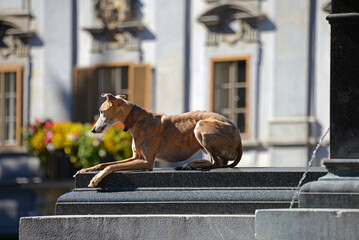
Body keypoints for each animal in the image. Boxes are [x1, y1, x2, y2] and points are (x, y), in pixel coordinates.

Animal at [74, 93, 243, 187]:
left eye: (102, 111)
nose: (93, 130)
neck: (137, 119)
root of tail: (238, 134)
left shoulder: (146, 162)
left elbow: (110, 167)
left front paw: (95, 179)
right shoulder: (136, 157)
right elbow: (104, 164)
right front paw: (84, 170)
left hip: (200, 126)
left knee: (217, 163)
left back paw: (191, 164)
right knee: (221, 161)